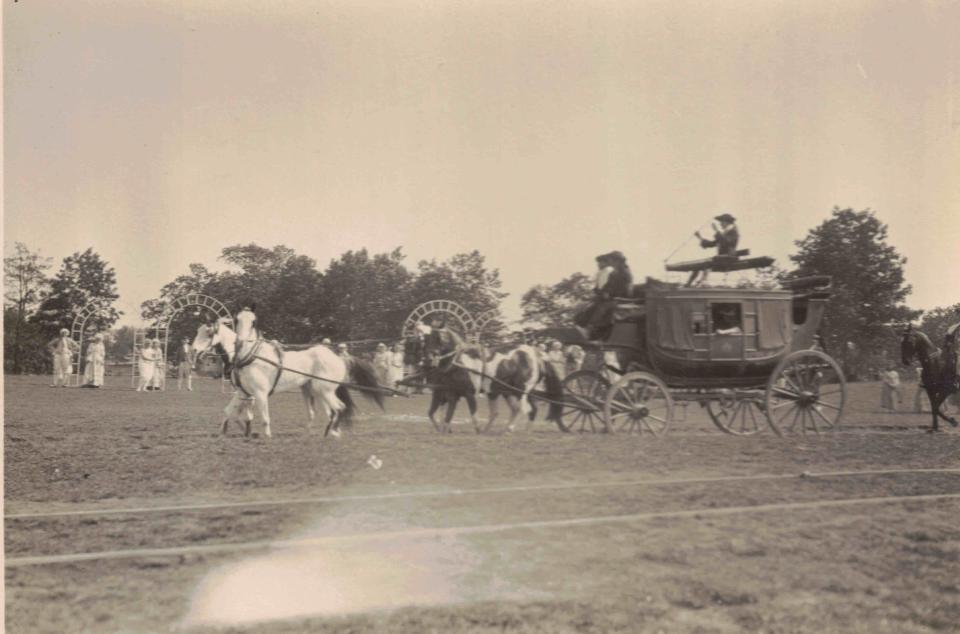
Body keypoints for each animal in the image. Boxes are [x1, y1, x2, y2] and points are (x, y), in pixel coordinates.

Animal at [193, 314, 384, 436]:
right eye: (197, 331)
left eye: (208, 333)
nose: (194, 350)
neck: (248, 356)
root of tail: (338, 356)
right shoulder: (243, 392)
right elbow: (229, 411)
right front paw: (226, 431)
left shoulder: (260, 393)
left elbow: (264, 417)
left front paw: (266, 436)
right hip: (313, 391)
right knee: (324, 412)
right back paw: (319, 432)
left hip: (324, 390)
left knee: (339, 408)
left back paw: (331, 433)